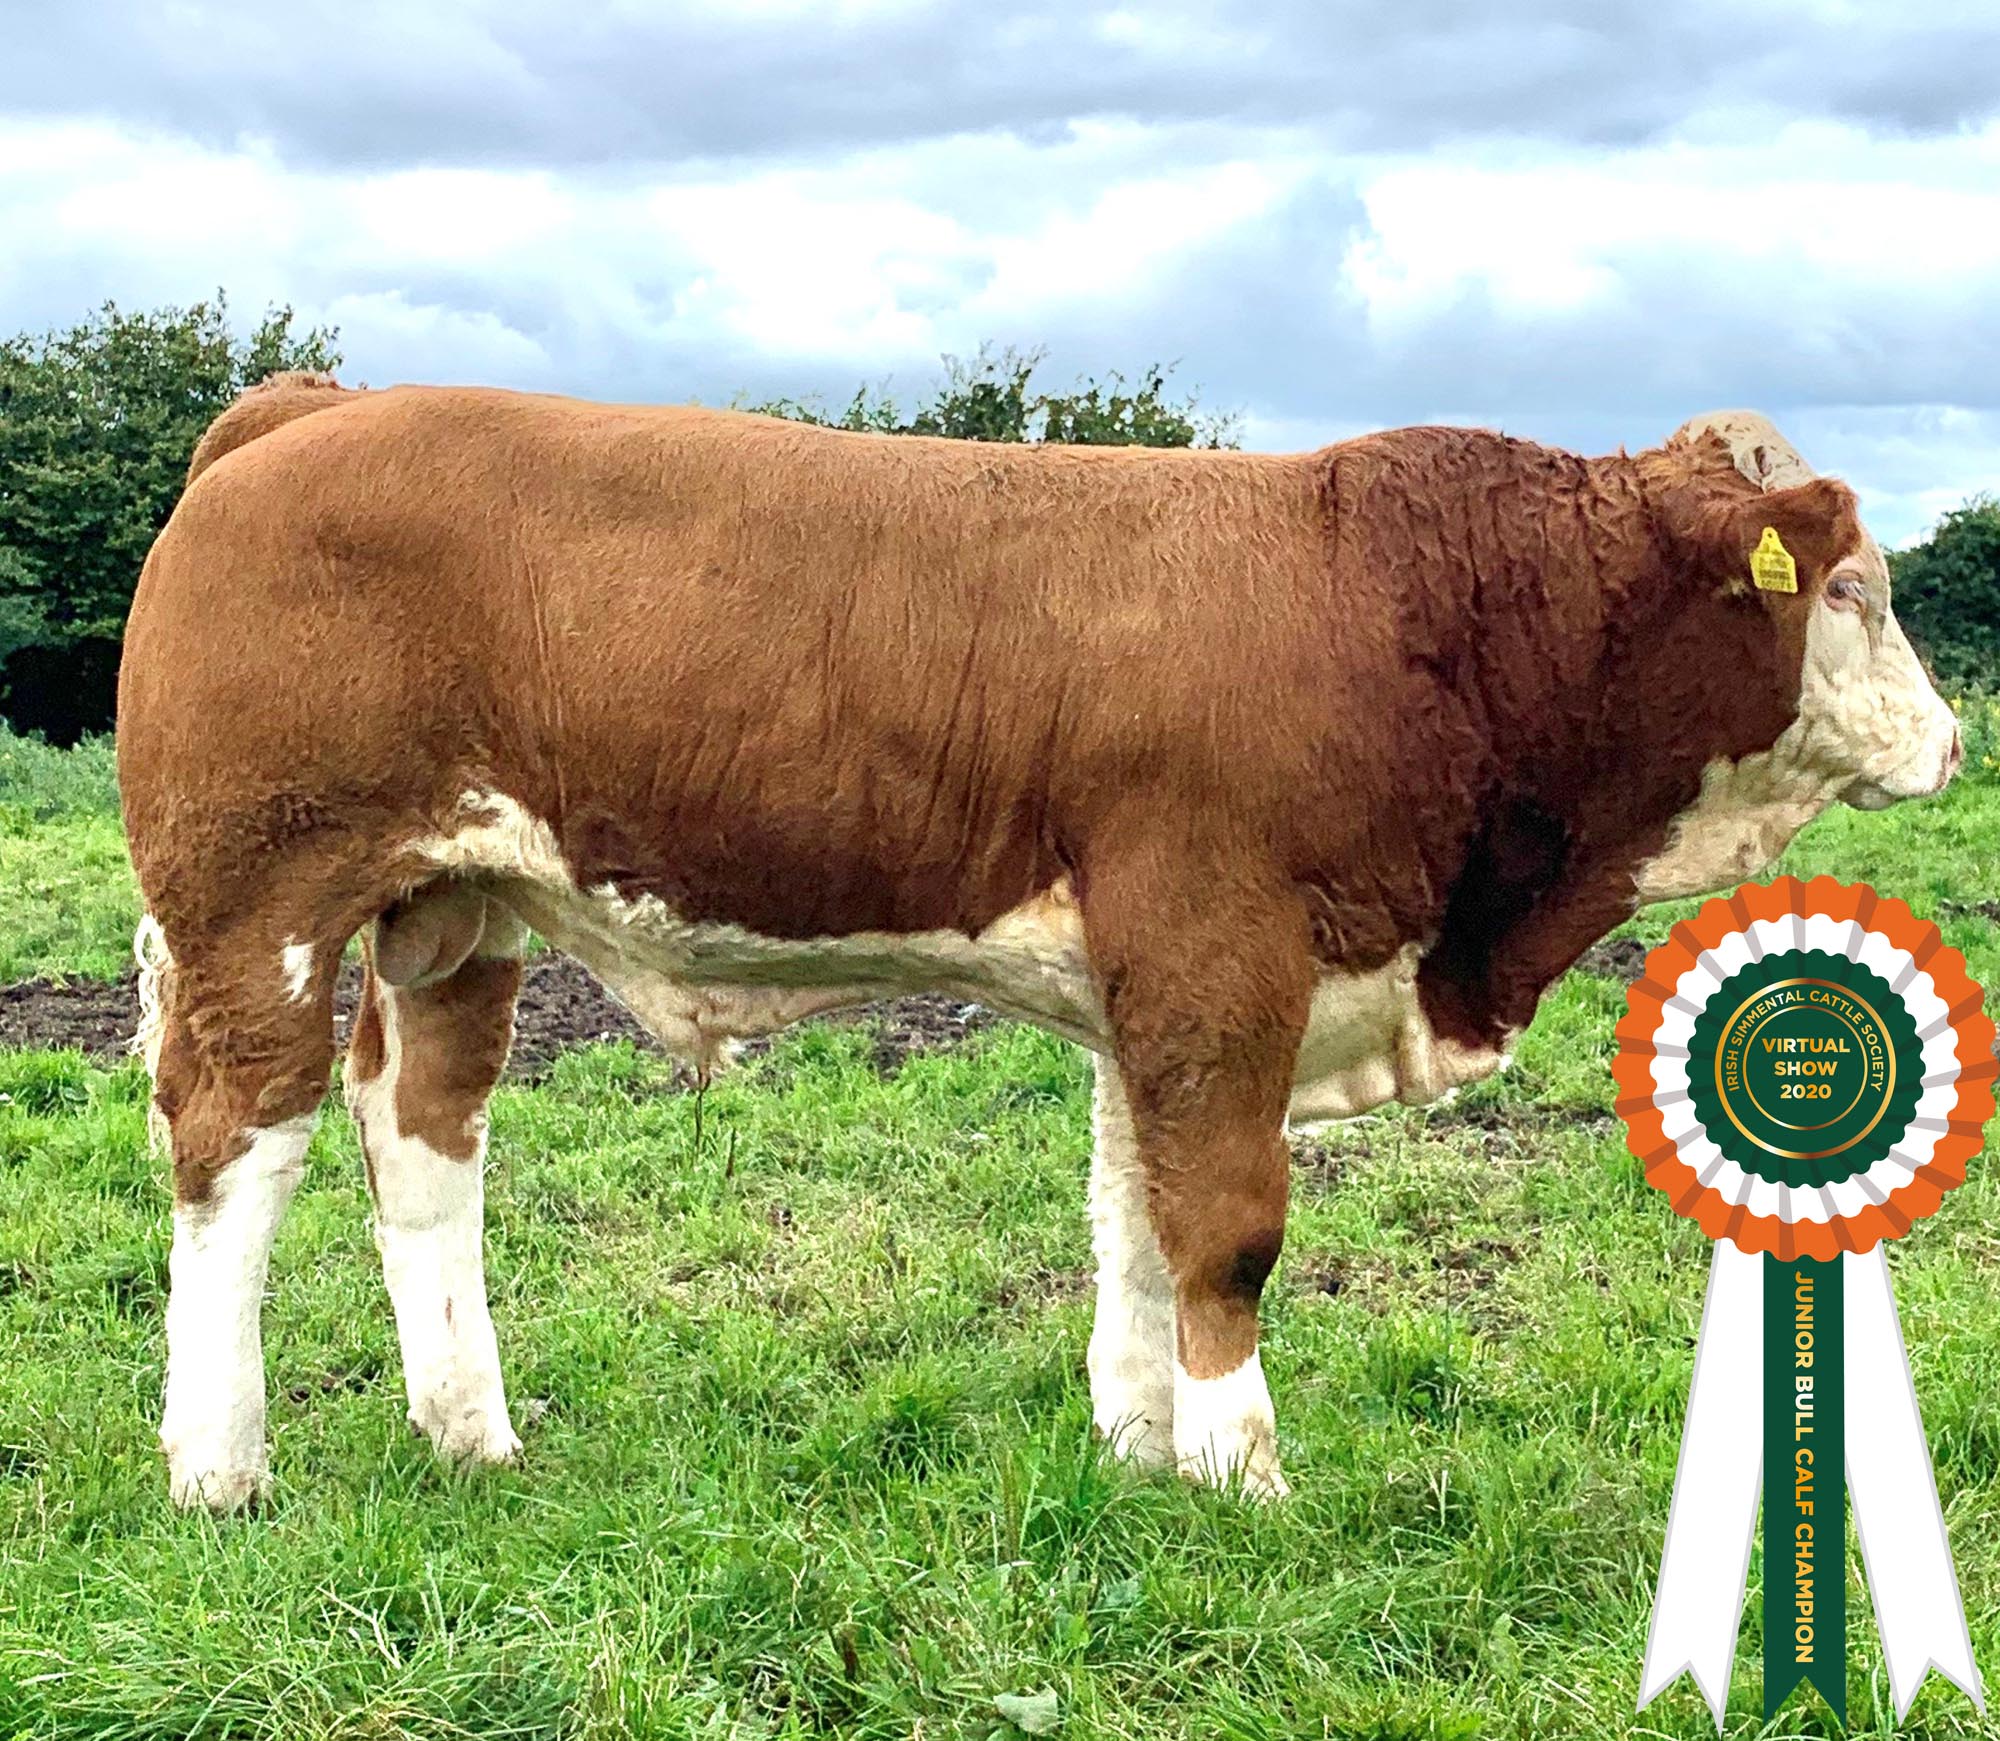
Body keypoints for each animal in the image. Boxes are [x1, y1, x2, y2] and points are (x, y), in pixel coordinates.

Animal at [117, 376, 1960, 1510]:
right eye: (1852, 589)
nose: (1953, 742)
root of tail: (316, 404)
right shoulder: (1220, 953)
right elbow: (1225, 1224)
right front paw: (1246, 1468)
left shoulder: (1158, 986)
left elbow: (1134, 1209)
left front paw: (1145, 1444)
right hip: (255, 906)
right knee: (236, 1147)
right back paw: (219, 1467)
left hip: (456, 911)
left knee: (422, 1140)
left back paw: (474, 1437)